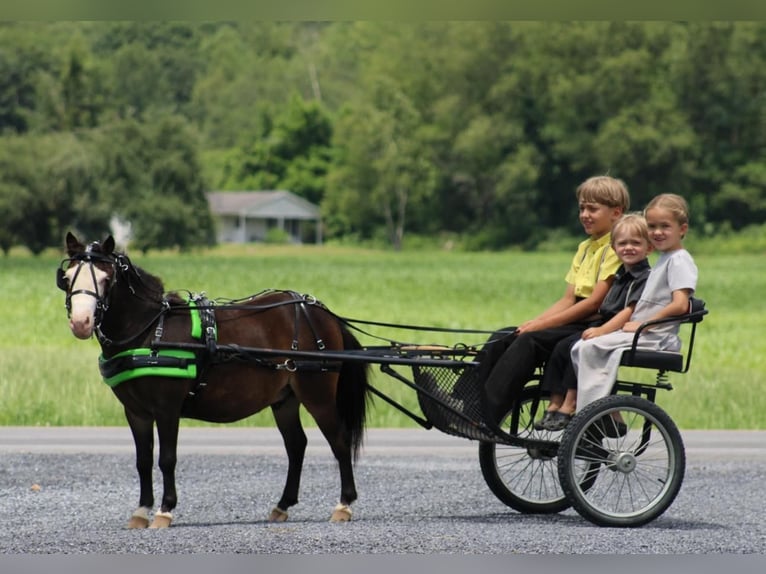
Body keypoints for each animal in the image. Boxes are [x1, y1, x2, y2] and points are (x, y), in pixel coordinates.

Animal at [57, 232, 372, 528]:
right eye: (68, 277)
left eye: (106, 278)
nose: (81, 323)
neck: (150, 331)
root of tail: (323, 313)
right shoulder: (135, 412)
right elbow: (143, 461)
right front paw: (141, 510)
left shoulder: (167, 408)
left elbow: (166, 458)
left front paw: (165, 510)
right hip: (285, 399)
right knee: (296, 445)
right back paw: (282, 505)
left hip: (317, 394)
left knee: (339, 440)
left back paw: (344, 504)